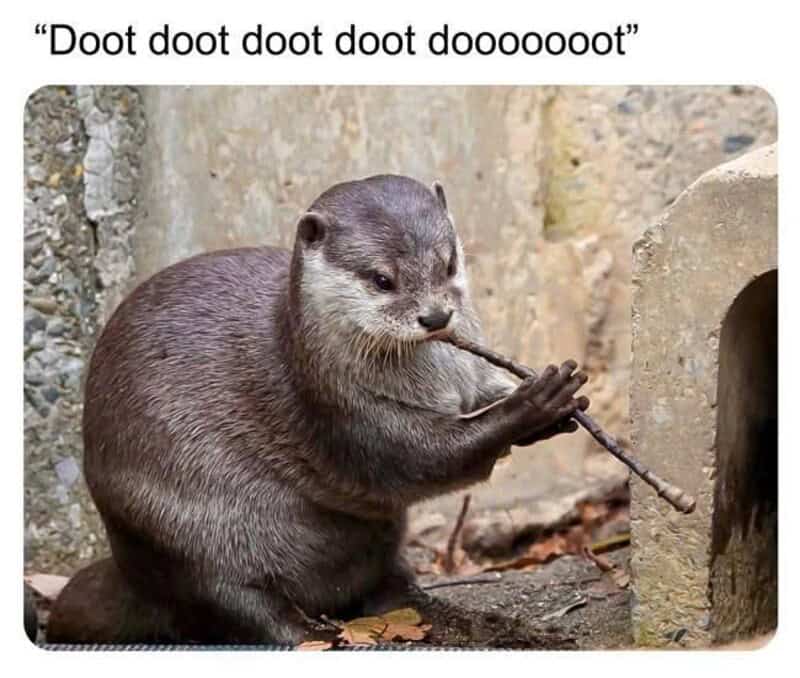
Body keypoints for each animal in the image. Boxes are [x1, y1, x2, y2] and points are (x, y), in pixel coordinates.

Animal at [47, 174, 588, 644]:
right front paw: (531, 405)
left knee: (383, 584)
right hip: (175, 532)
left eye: (449, 263)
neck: (435, 381)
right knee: (234, 605)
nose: (436, 316)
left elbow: (478, 402)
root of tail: (127, 570)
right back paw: (317, 634)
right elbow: (421, 459)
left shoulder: (467, 379)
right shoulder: (339, 407)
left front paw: (556, 407)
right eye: (382, 279)